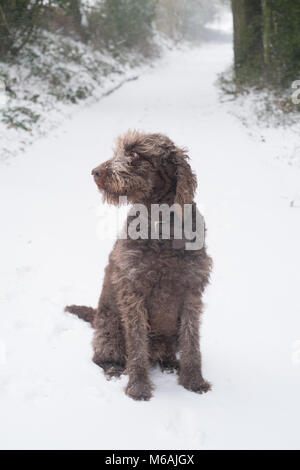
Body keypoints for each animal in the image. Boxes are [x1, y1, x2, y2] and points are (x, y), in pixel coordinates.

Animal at [65, 129, 212, 400]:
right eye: (120, 151)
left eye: (134, 154)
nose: (95, 171)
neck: (160, 225)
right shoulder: (133, 293)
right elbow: (137, 345)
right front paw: (138, 387)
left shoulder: (191, 291)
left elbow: (191, 341)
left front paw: (194, 381)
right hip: (110, 329)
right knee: (101, 357)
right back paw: (114, 369)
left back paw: (170, 363)